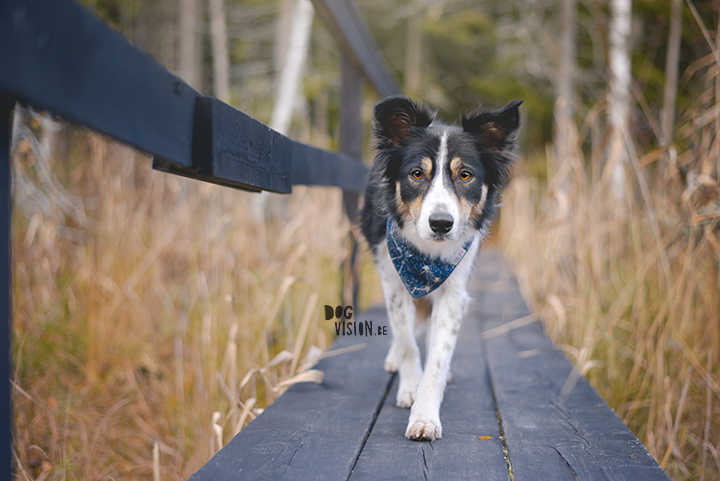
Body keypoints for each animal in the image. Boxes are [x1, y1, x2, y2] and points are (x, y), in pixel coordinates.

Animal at [360, 95, 524, 440]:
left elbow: (438, 355)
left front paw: (424, 414)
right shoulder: (393, 278)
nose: (441, 224)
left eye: (465, 175)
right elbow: (406, 341)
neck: (426, 255)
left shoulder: (454, 289)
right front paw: (410, 386)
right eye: (416, 174)